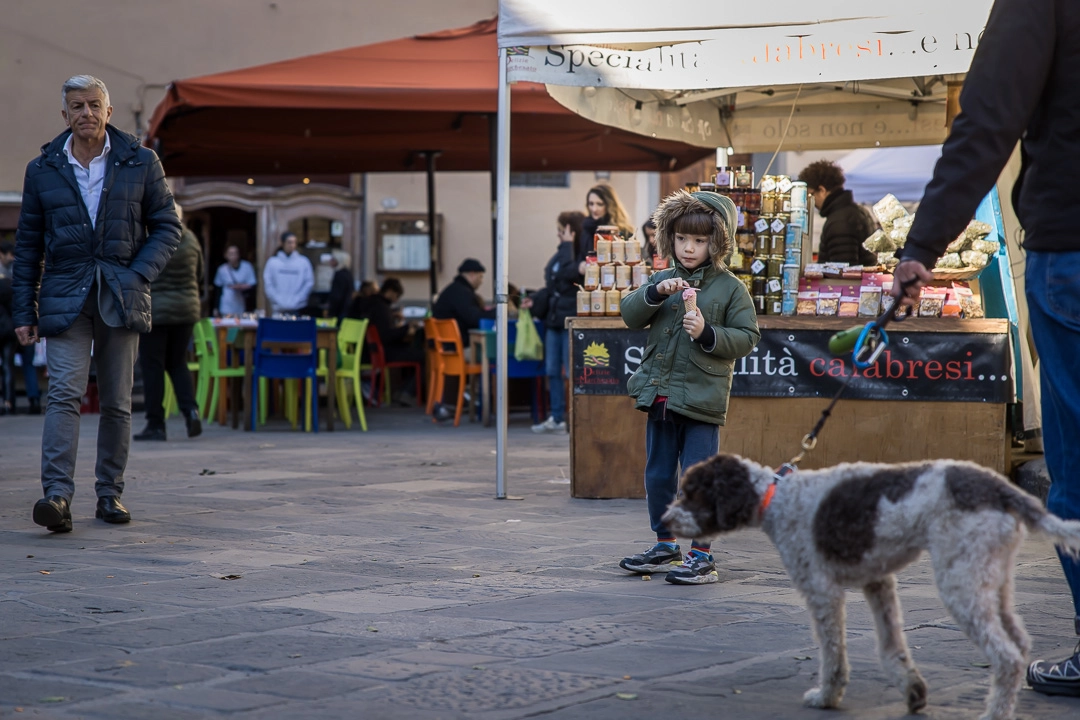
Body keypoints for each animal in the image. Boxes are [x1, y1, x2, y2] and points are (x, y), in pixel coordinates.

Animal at [660, 455, 1080, 720]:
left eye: (692, 491)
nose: (663, 519)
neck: (776, 498)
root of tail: (1002, 489)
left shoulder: (822, 591)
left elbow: (832, 654)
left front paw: (827, 696)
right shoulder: (878, 581)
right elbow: (890, 646)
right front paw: (912, 689)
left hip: (960, 581)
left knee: (1006, 655)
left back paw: (993, 713)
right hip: (991, 578)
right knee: (1019, 643)